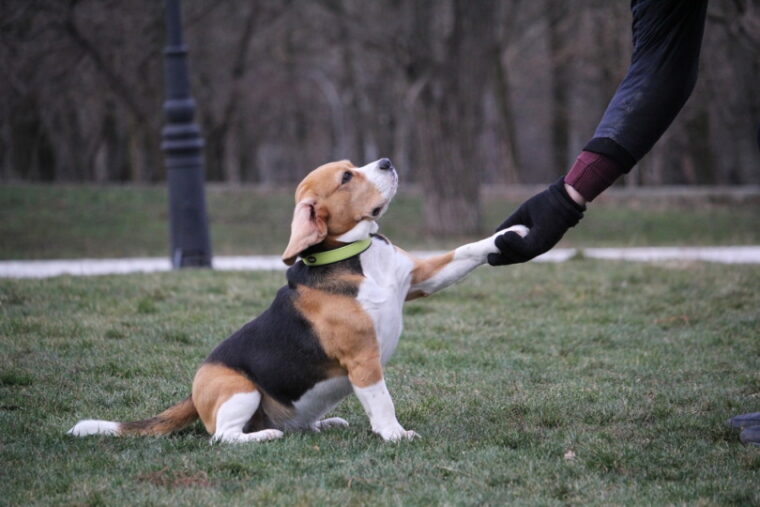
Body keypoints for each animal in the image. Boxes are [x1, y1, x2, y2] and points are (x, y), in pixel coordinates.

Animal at [68, 160, 524, 444]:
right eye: (346, 177)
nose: (387, 161)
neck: (355, 256)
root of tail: (194, 392)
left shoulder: (419, 278)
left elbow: (465, 251)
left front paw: (511, 235)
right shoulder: (363, 359)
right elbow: (382, 401)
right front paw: (395, 434)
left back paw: (324, 423)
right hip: (240, 390)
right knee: (221, 437)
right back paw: (264, 435)